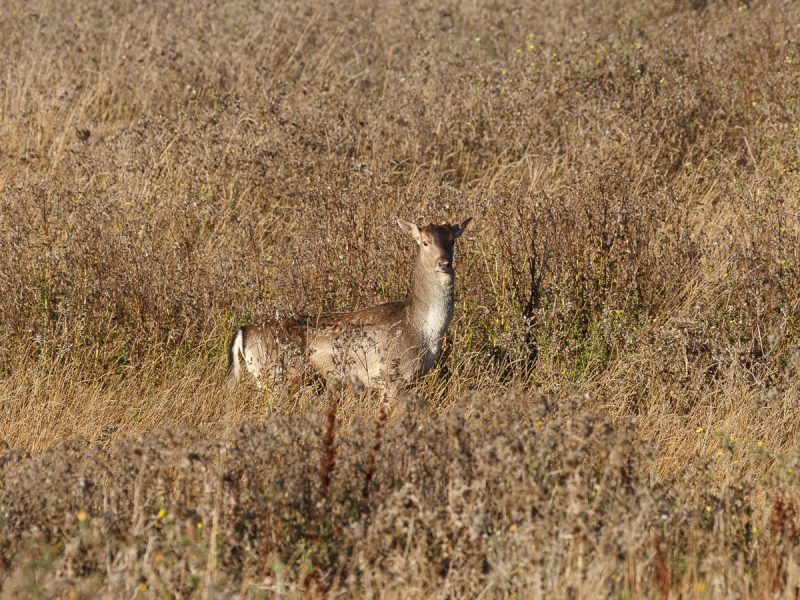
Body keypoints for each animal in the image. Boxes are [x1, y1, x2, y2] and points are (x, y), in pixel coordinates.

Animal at [225, 218, 472, 400]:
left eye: (452, 241)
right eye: (425, 242)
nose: (444, 263)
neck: (423, 331)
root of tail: (243, 331)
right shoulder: (393, 375)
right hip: (272, 374)